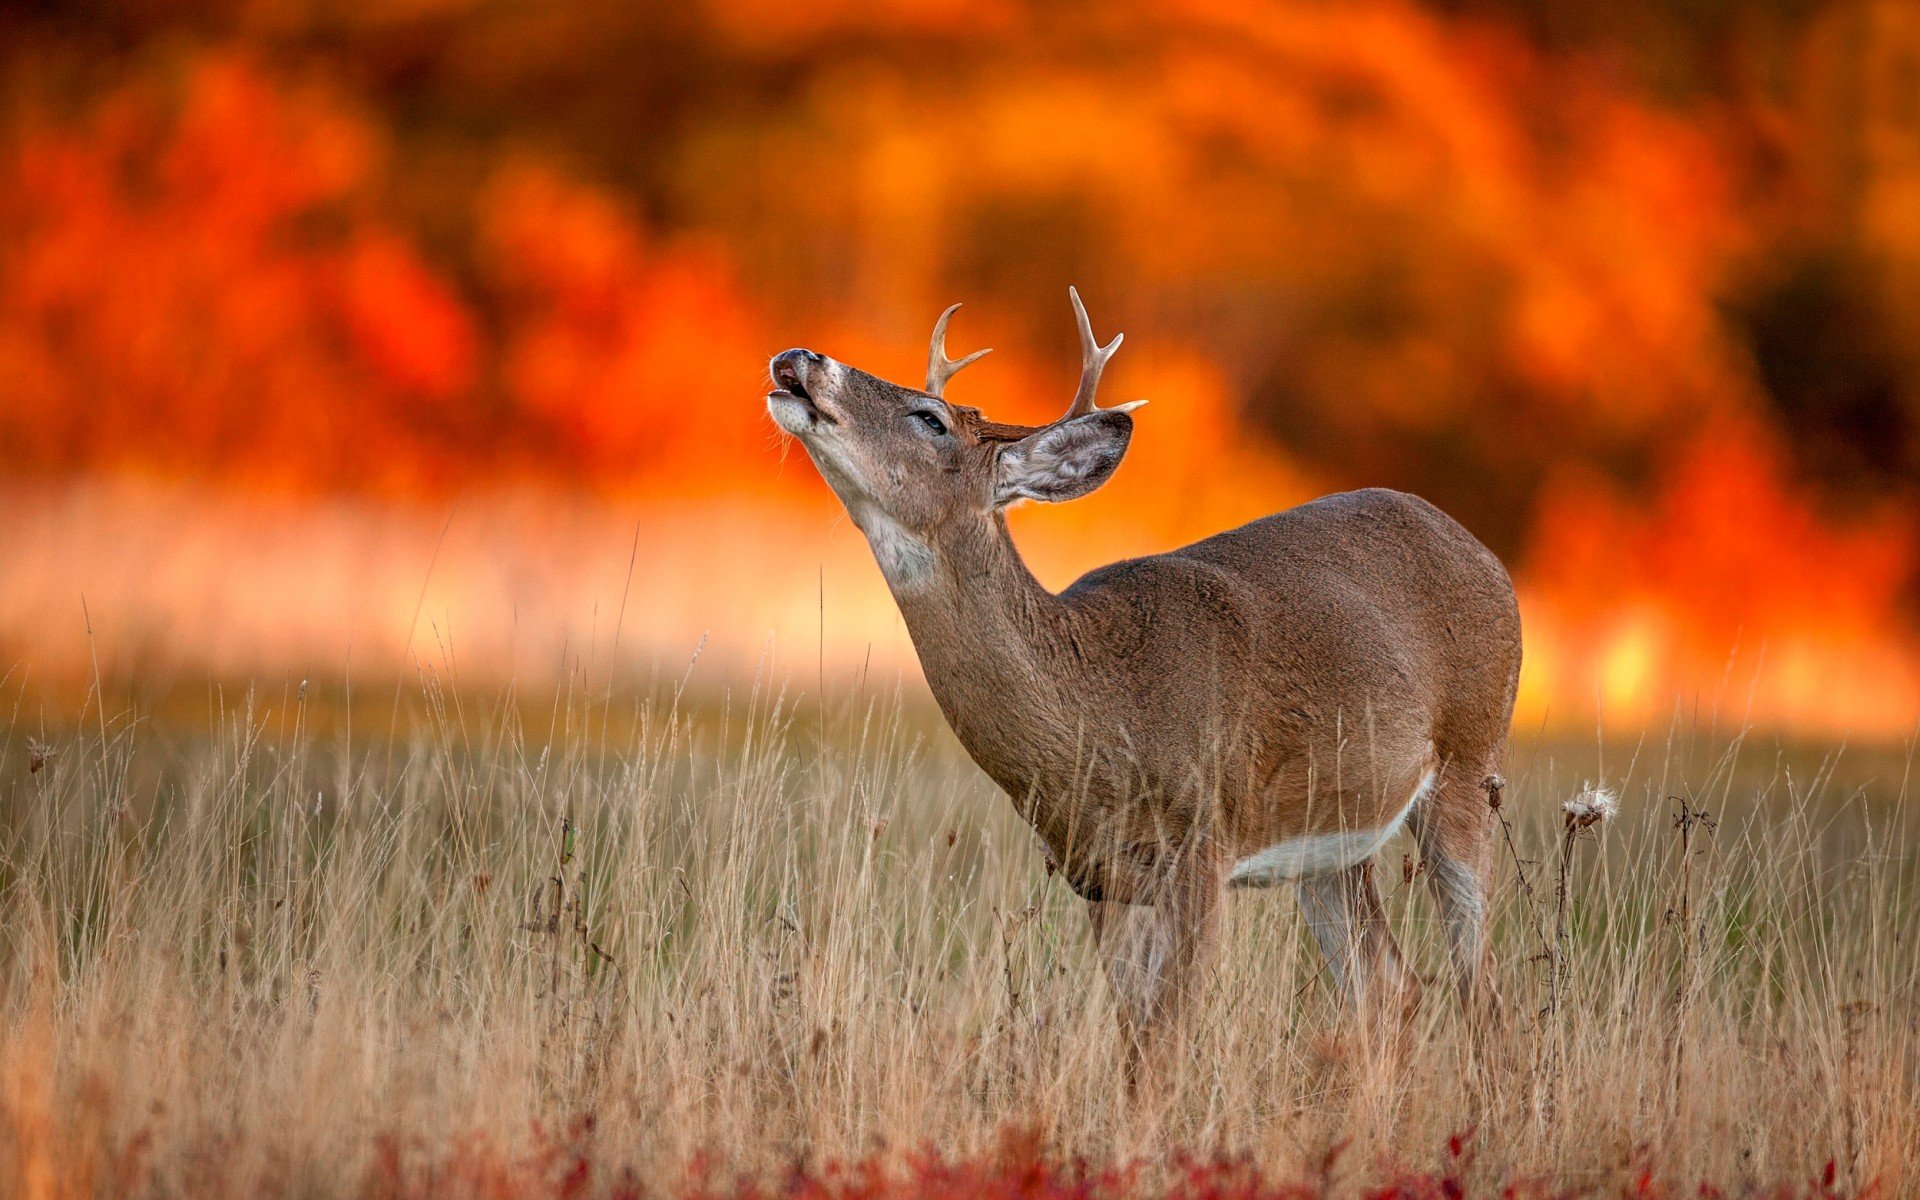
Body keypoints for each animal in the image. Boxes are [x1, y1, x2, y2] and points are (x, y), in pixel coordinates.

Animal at [765, 290, 1522, 1076]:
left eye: (930, 419)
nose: (800, 358)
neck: (1101, 711)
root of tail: (1485, 554)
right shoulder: (1098, 879)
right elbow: (1137, 1048)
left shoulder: (1203, 848)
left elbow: (1165, 1045)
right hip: (1332, 841)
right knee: (1392, 989)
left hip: (1471, 760)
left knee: (1482, 990)